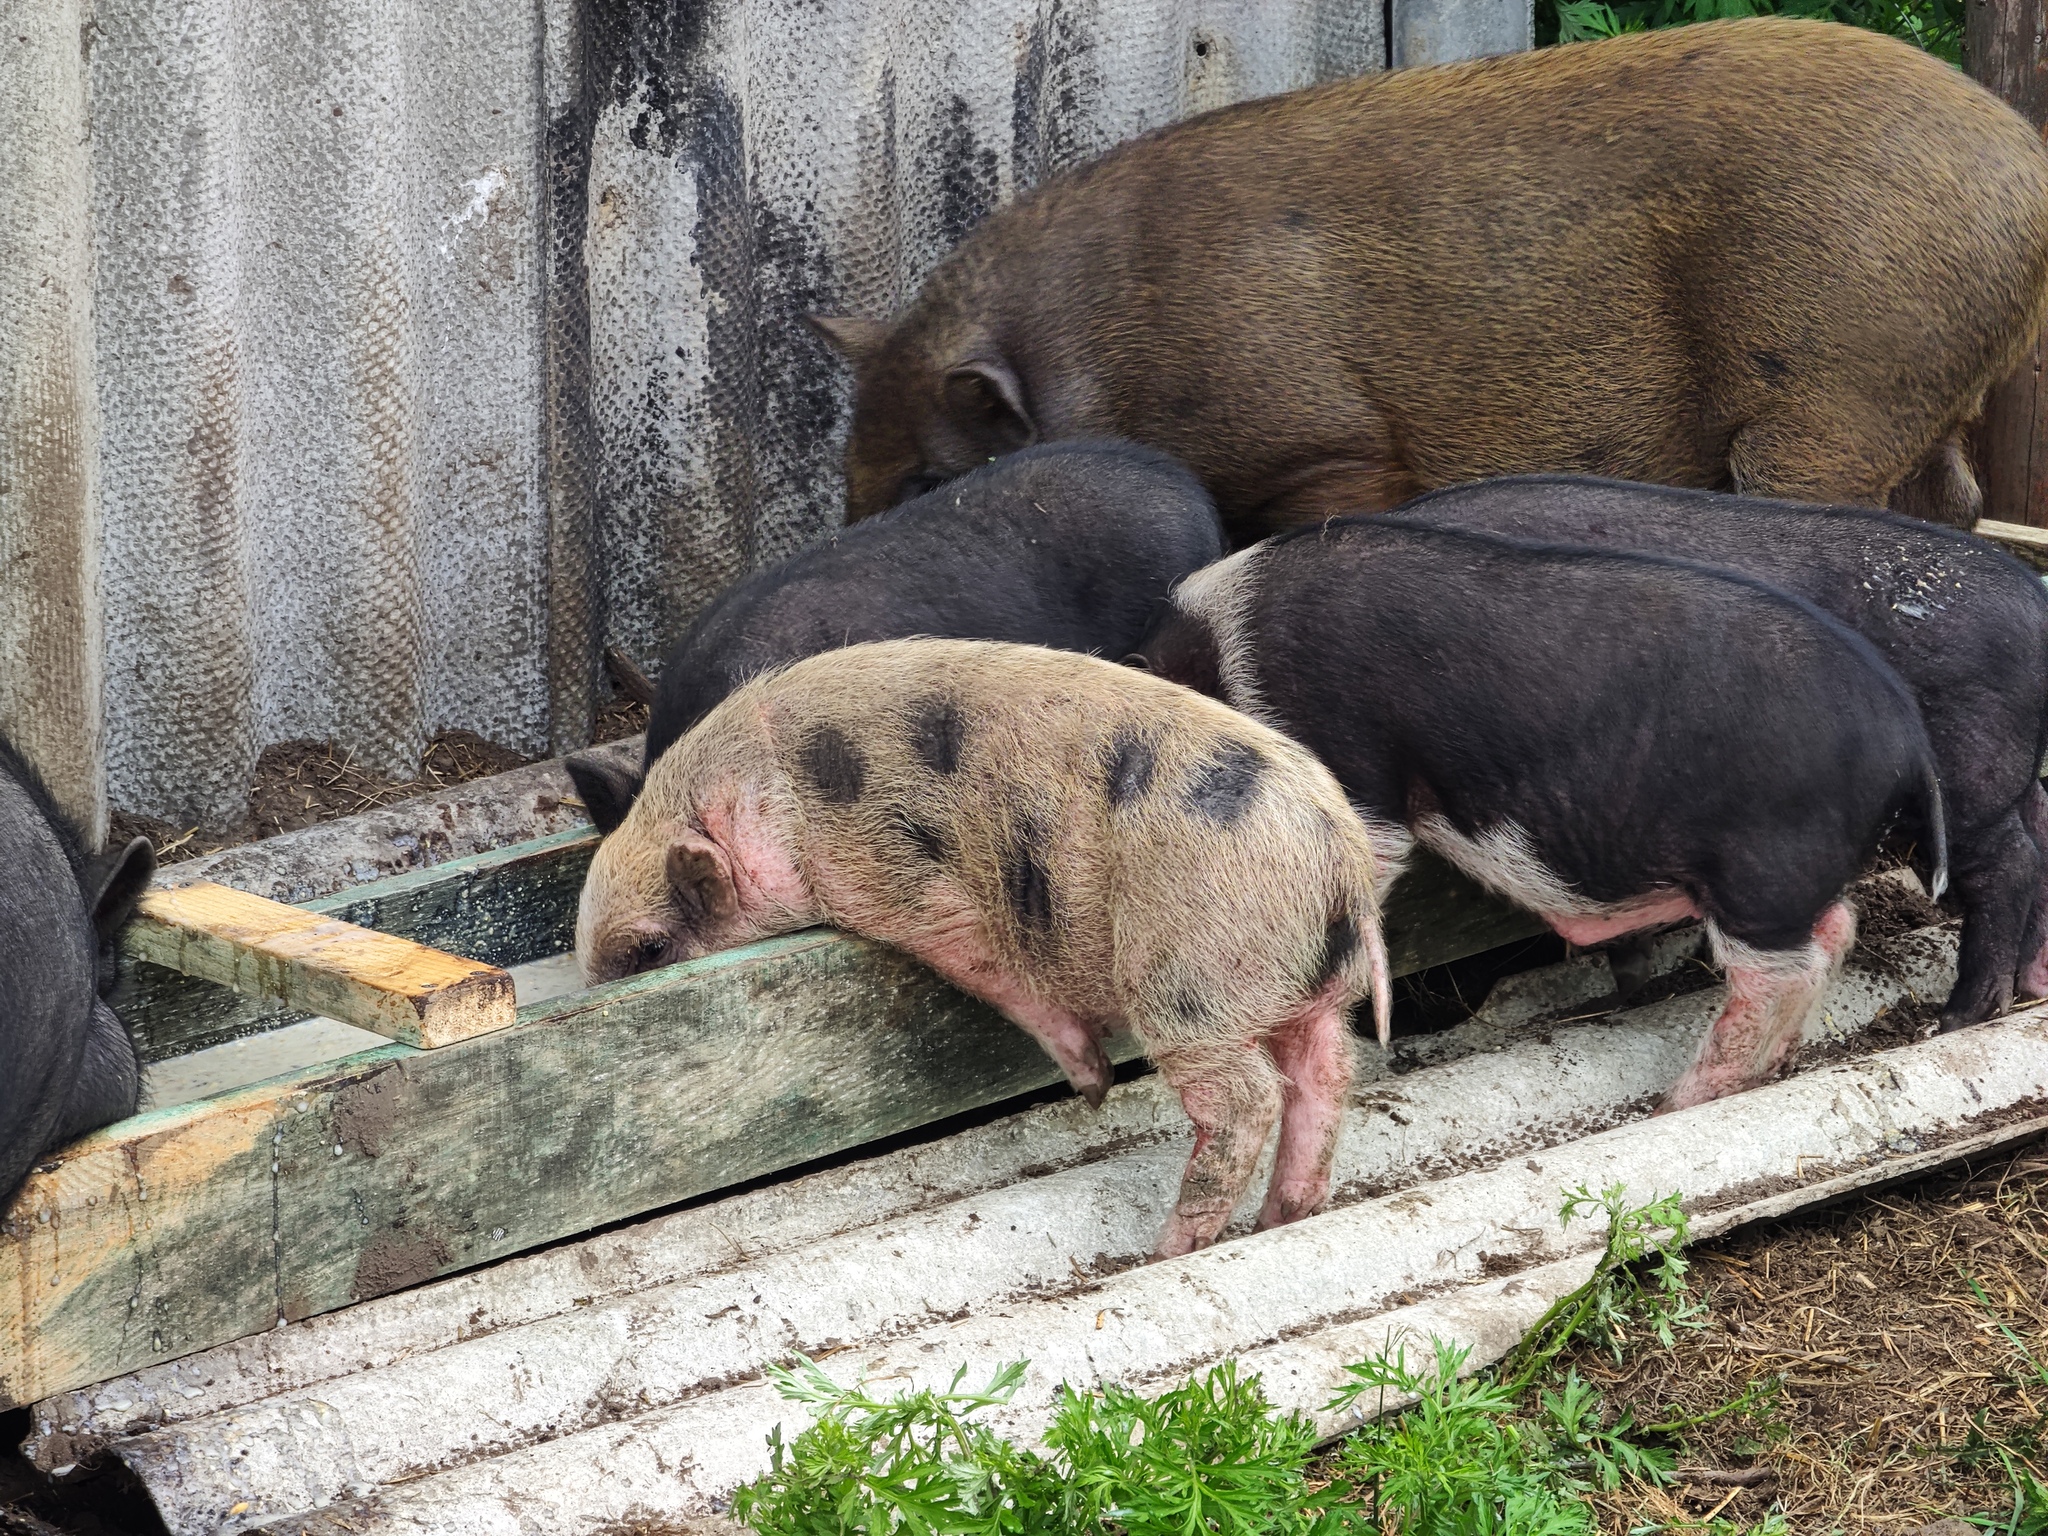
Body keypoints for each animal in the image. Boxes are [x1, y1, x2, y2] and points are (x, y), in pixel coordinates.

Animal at [811, 18, 2048, 540]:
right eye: (848, 476)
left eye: (928, 482)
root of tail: (2022, 160)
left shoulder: (1329, 440)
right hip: (1923, 396)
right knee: (1955, 503)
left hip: (1837, 388)